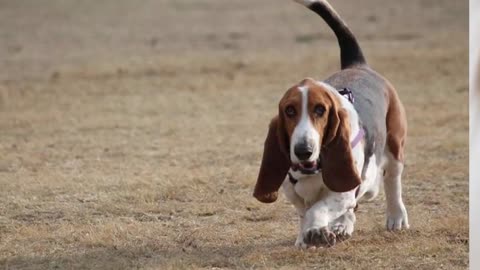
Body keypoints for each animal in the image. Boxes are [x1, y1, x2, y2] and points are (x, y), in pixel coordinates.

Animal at [251, 0, 408, 249]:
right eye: (289, 111)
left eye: (320, 110)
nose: (303, 150)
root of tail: (358, 64)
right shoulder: (294, 193)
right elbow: (304, 212)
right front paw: (306, 237)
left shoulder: (342, 192)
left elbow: (318, 209)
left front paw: (316, 231)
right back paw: (342, 226)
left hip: (394, 146)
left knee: (392, 181)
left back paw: (396, 217)